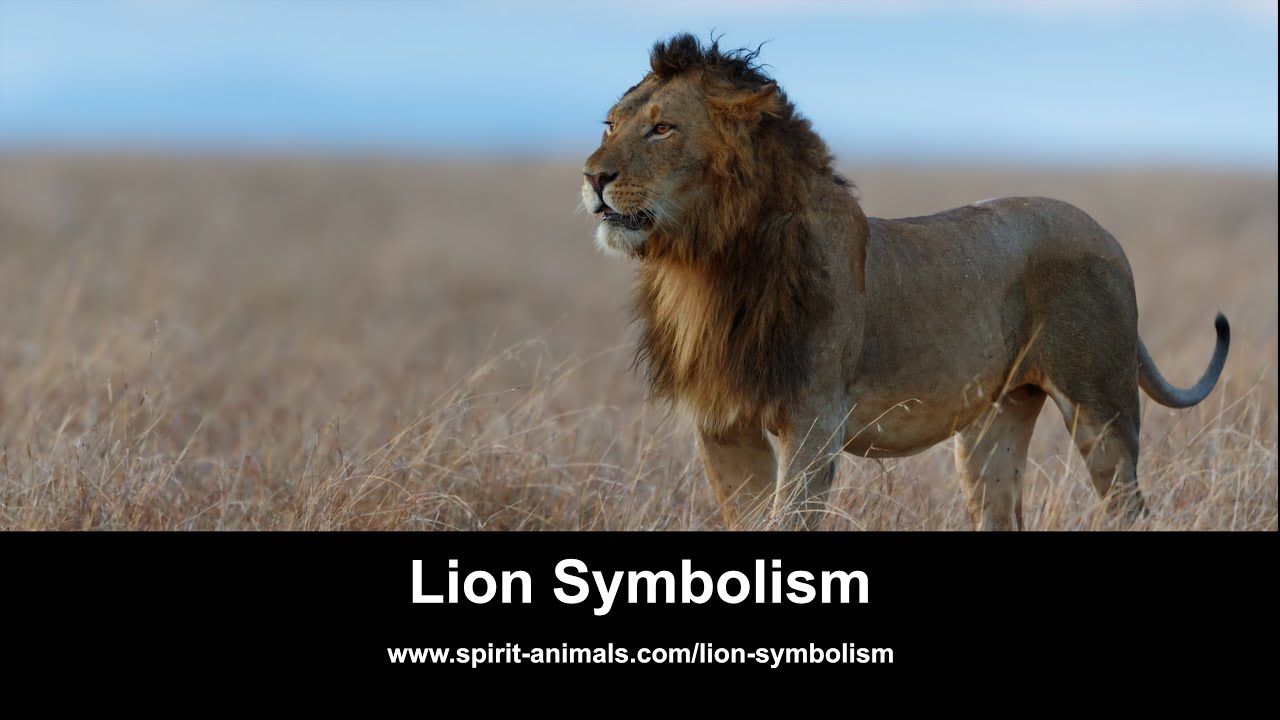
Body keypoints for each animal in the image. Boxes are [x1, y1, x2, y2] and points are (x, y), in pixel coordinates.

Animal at [581, 34, 1230, 530]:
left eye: (662, 129)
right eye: (610, 125)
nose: (591, 176)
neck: (704, 265)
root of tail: (1105, 233)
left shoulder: (814, 421)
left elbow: (786, 519)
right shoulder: (723, 423)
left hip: (1102, 407)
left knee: (1130, 508)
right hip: (992, 425)